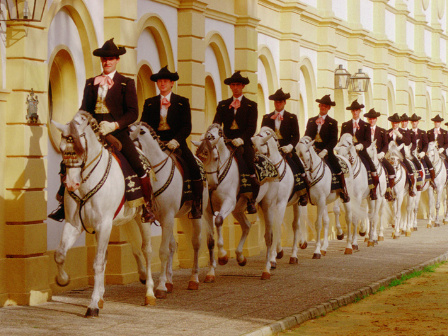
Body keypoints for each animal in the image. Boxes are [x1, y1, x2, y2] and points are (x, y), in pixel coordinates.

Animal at [52, 111, 154, 318]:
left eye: (81, 149)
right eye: (62, 149)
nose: (71, 184)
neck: (86, 182)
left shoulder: (103, 224)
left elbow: (98, 263)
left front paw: (92, 305)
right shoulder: (74, 224)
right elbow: (60, 254)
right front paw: (64, 280)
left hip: (141, 219)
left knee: (146, 249)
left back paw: (150, 293)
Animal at [129, 122, 207, 298]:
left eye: (141, 132)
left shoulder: (168, 216)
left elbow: (163, 251)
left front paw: (160, 288)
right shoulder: (153, 217)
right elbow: (151, 248)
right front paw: (162, 283)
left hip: (196, 214)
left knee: (196, 243)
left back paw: (194, 279)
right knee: (173, 245)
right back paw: (170, 281)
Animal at [194, 124, 278, 280]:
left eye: (215, 158)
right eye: (200, 159)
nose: (211, 185)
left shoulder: (228, 202)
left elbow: (219, 221)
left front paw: (222, 256)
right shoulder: (207, 211)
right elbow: (210, 241)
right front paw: (210, 273)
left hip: (268, 206)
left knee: (269, 237)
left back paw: (266, 269)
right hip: (238, 209)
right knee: (246, 226)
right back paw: (240, 257)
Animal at [250, 126, 310, 268]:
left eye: (262, 149)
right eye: (252, 148)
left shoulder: (280, 204)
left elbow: (276, 227)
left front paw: (272, 259)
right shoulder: (265, 206)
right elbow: (271, 229)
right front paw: (276, 253)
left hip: (298, 204)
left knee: (295, 226)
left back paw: (294, 255)